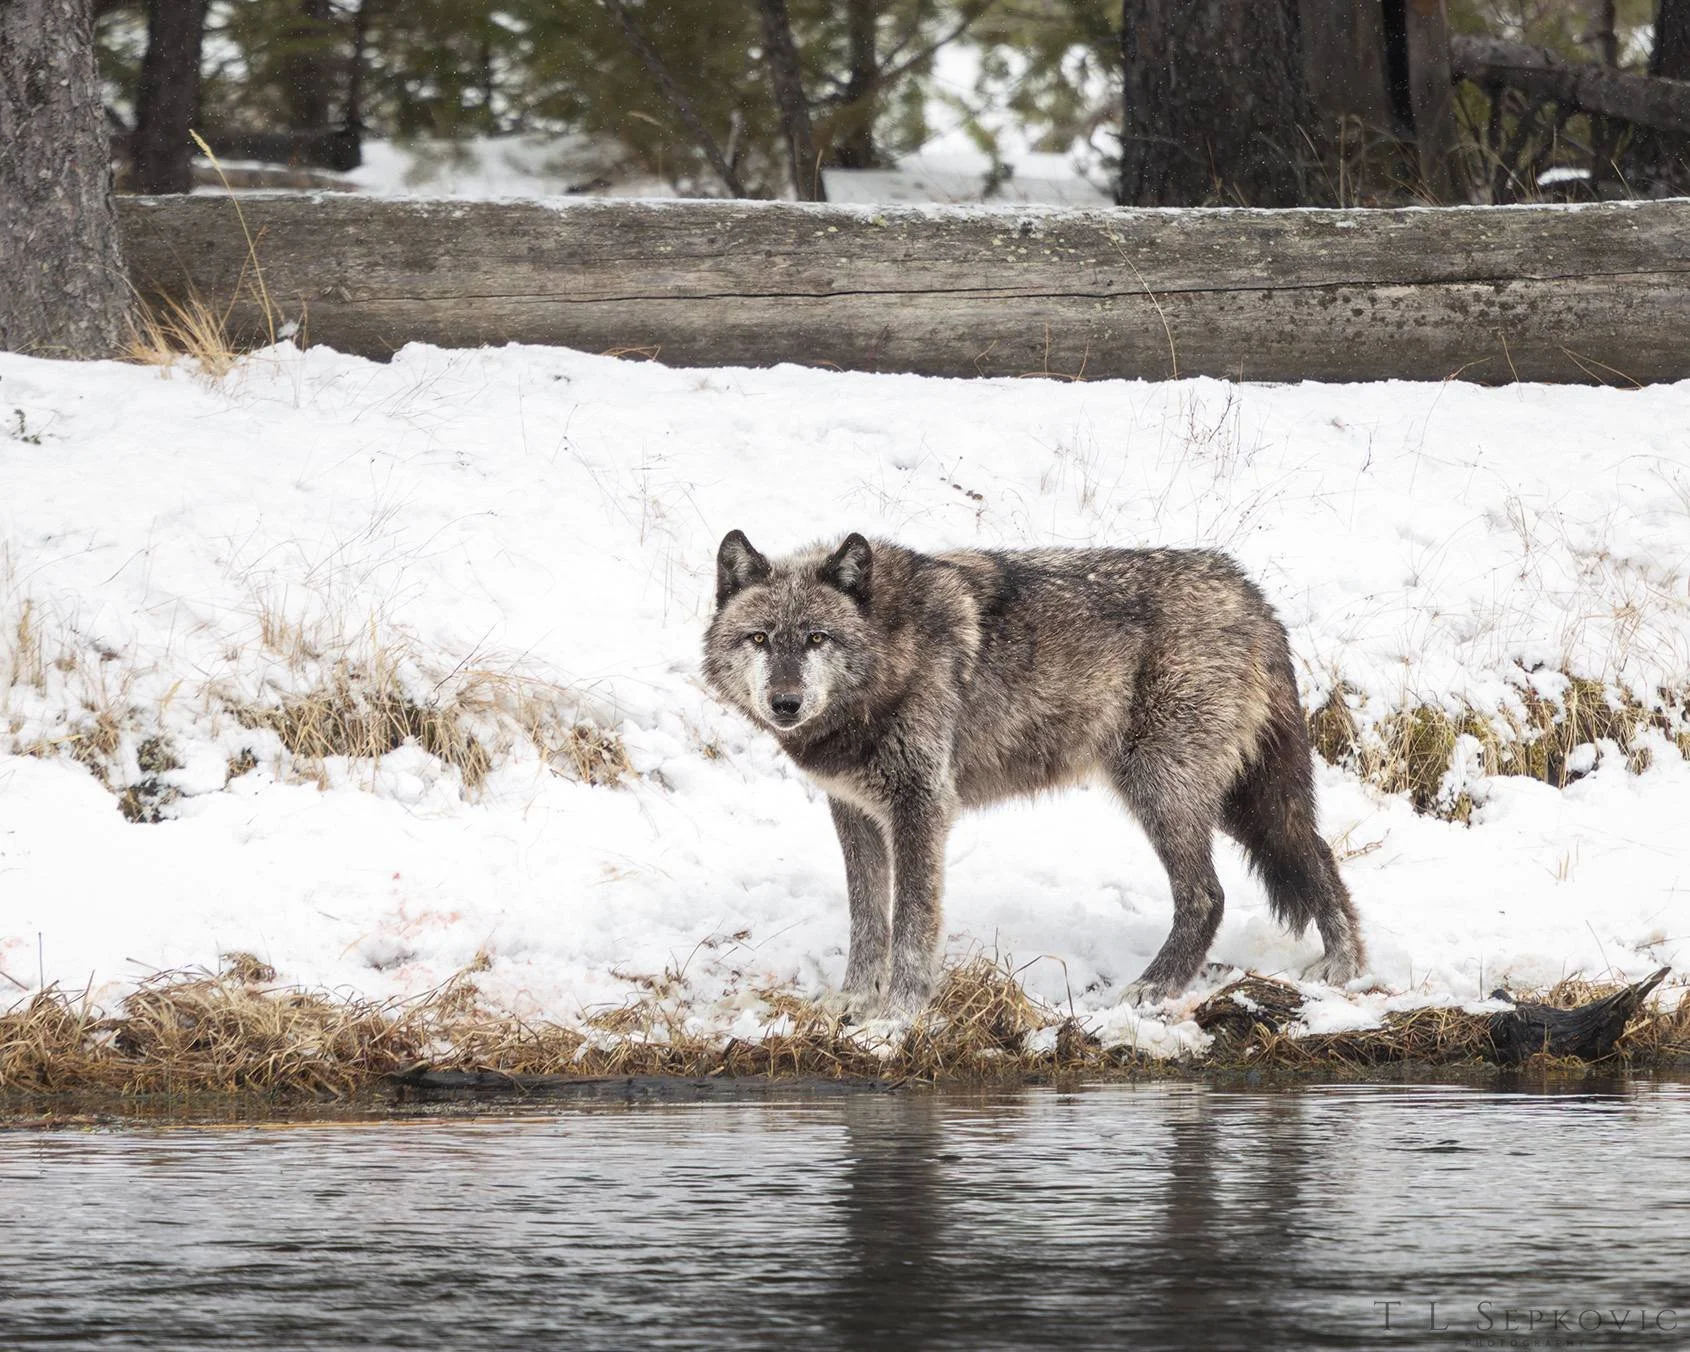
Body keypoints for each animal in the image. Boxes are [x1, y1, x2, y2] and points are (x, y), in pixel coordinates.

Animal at [702, 531, 1366, 1020]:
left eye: (817, 638)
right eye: (760, 639)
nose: (785, 702)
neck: (891, 657)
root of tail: (1251, 592)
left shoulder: (922, 807)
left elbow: (912, 923)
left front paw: (897, 1017)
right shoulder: (855, 811)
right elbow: (867, 919)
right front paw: (853, 1003)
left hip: (1163, 789)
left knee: (1209, 895)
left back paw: (1154, 988)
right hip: (1233, 801)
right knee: (1317, 854)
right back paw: (1347, 969)